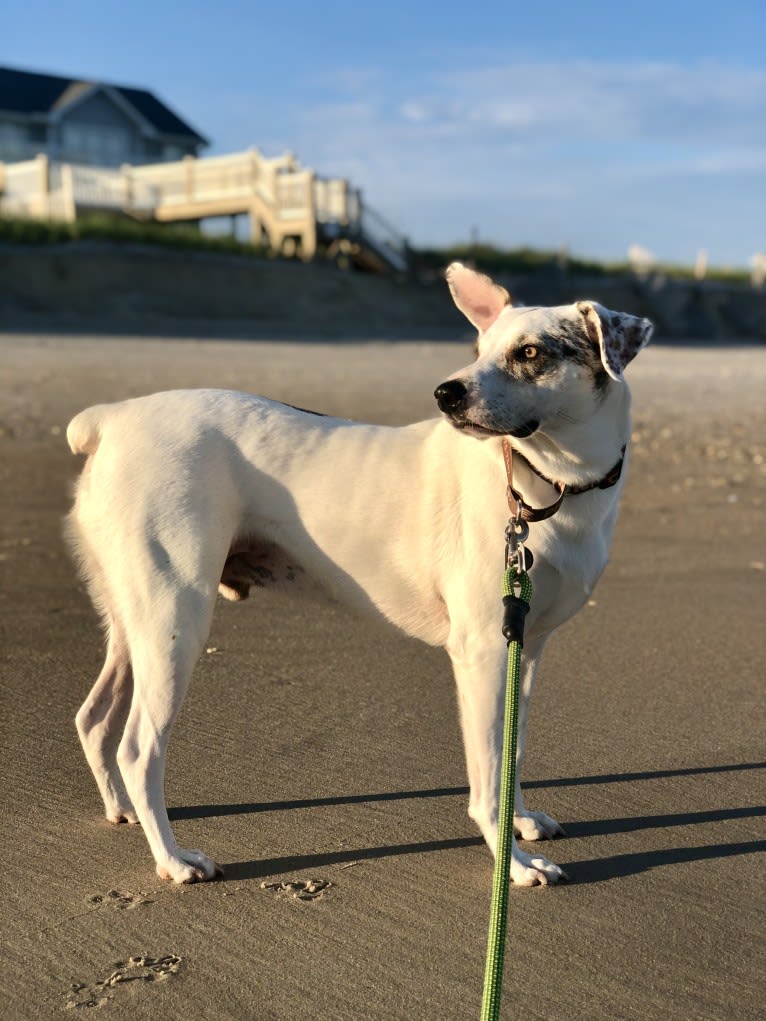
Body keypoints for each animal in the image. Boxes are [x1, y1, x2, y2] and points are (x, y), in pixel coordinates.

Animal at [67, 263, 653, 886]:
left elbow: (512, 751)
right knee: (137, 749)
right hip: (175, 620)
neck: (546, 484)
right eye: (476, 350)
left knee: (94, 719)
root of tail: (115, 418)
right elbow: (488, 775)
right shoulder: (483, 652)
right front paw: (512, 865)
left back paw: (122, 809)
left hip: (134, 621)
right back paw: (173, 859)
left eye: (530, 352)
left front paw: (520, 822)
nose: (446, 393)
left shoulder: (527, 647)